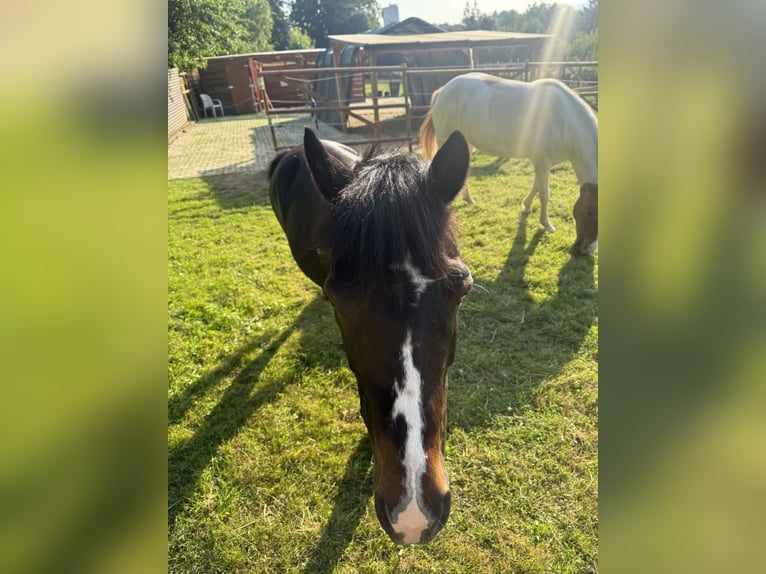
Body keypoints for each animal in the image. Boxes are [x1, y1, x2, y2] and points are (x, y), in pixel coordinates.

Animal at [419, 72, 599, 255]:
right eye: (590, 212)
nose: (588, 248)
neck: (565, 121)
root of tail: (442, 91)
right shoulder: (543, 162)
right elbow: (544, 194)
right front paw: (547, 225)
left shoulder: (541, 163)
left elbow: (536, 187)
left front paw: (526, 206)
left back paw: (469, 200)